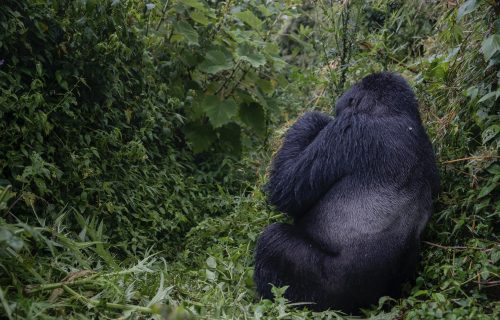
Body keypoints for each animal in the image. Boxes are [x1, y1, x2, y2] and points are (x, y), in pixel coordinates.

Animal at [254, 72, 438, 312]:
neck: (395, 112)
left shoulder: (348, 129)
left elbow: (284, 190)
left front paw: (314, 118)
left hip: (330, 293)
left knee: (273, 240)